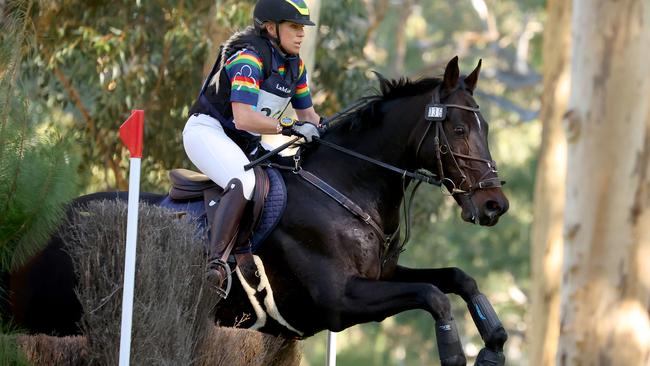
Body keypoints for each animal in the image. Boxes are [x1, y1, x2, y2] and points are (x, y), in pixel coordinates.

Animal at [6, 55, 512, 364]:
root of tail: (39, 226)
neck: (343, 187)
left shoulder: (381, 276)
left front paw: (494, 345)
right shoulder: (340, 302)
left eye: (485, 126)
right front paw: (456, 355)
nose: (495, 204)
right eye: (459, 130)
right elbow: (433, 295)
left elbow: (457, 279)